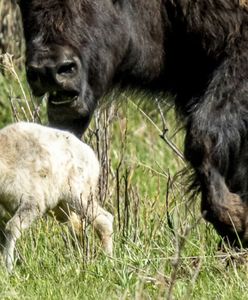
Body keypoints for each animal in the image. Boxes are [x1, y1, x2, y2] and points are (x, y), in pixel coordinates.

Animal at [0, 122, 113, 272]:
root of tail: (92, 157)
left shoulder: (33, 201)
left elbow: (11, 228)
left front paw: (8, 268)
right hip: (61, 207)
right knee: (78, 227)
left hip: (78, 195)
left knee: (104, 220)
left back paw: (108, 261)